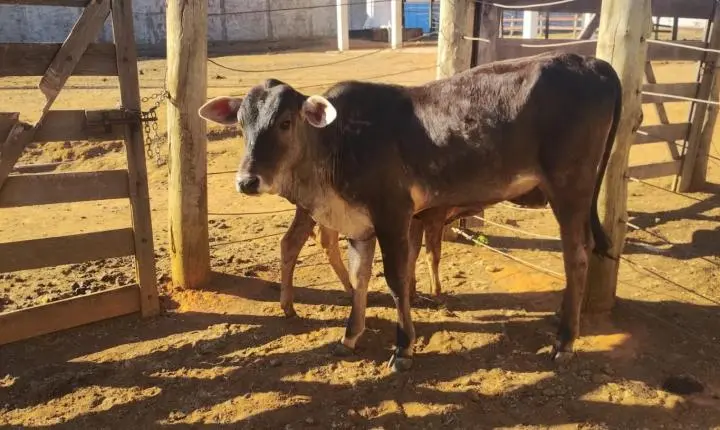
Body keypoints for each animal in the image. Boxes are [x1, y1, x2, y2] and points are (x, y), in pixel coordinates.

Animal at [198, 51, 623, 372]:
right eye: (241, 123)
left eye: (286, 122)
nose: (247, 181)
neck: (338, 141)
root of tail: (594, 63)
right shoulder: (361, 226)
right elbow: (360, 277)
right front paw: (350, 336)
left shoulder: (393, 216)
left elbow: (396, 279)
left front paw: (403, 347)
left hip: (569, 190)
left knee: (577, 256)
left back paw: (565, 341)